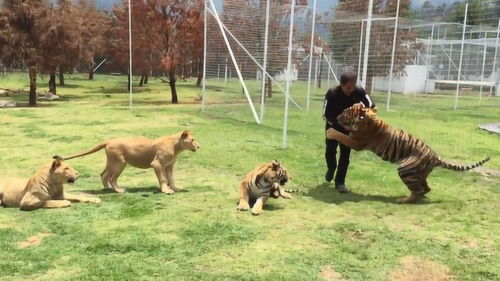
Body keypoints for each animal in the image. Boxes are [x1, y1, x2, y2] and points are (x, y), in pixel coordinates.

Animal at [326, 101, 490, 202]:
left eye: (346, 112)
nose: (337, 116)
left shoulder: (356, 142)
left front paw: (330, 131)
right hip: (419, 174)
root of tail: (435, 157)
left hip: (405, 169)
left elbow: (340, 134)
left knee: (418, 190)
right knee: (425, 188)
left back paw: (403, 200)